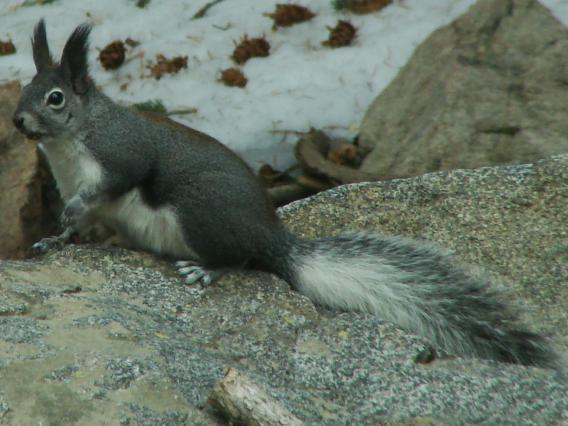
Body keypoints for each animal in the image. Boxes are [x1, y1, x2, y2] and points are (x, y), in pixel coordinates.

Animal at [11, 20, 560, 370]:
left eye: (55, 98)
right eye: (22, 89)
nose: (17, 121)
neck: (70, 143)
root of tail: (272, 237)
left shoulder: (122, 154)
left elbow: (118, 180)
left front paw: (71, 217)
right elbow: (75, 224)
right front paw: (53, 240)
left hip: (198, 211)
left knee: (241, 259)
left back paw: (207, 270)